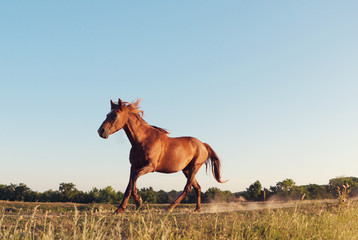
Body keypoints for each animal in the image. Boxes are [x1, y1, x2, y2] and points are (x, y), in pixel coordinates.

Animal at [97, 98, 227, 214]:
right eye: (107, 114)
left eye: (115, 115)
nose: (101, 131)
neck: (142, 140)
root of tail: (203, 145)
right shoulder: (133, 166)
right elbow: (129, 186)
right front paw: (119, 209)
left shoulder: (150, 167)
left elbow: (134, 179)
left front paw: (138, 202)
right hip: (187, 170)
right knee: (197, 188)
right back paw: (197, 209)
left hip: (194, 167)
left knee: (187, 188)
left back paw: (169, 208)